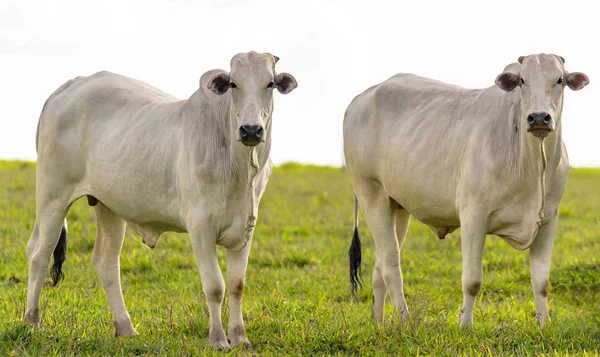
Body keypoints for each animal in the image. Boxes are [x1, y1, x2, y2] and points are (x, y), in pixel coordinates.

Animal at [25, 50, 298, 348]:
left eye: (269, 84)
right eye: (234, 84)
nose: (250, 130)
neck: (239, 167)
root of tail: (72, 84)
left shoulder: (245, 228)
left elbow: (237, 285)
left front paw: (240, 338)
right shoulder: (200, 228)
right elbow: (215, 286)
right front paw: (217, 340)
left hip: (108, 205)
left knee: (106, 261)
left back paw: (125, 328)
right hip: (52, 196)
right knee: (39, 253)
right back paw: (32, 321)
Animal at [344, 52, 588, 326]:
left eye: (559, 80)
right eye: (522, 80)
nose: (538, 117)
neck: (533, 163)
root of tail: (360, 99)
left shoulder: (548, 220)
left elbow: (542, 283)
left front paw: (543, 325)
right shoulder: (474, 216)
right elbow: (472, 281)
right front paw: (465, 325)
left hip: (397, 206)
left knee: (380, 269)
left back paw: (379, 322)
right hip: (371, 195)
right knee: (390, 266)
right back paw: (405, 321)